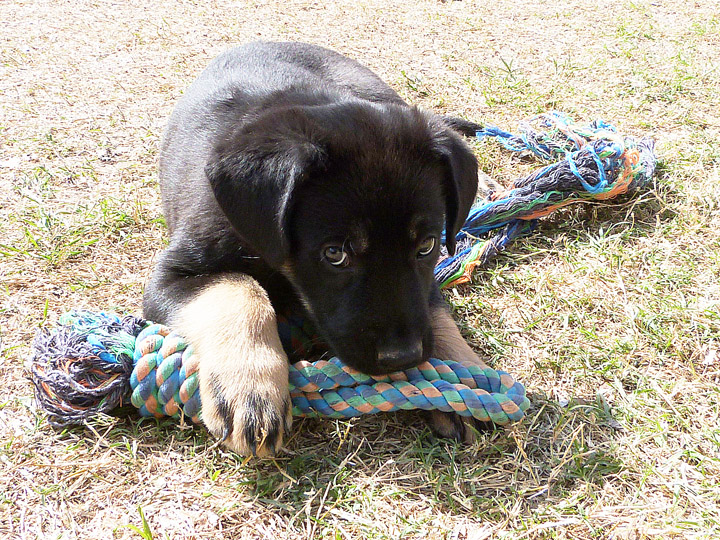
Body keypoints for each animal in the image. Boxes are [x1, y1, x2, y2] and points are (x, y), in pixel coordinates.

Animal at [142, 42, 490, 456]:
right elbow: (236, 288)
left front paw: (464, 376)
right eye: (335, 254)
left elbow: (434, 309)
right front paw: (251, 388)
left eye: (427, 246)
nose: (402, 358)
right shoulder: (172, 275)